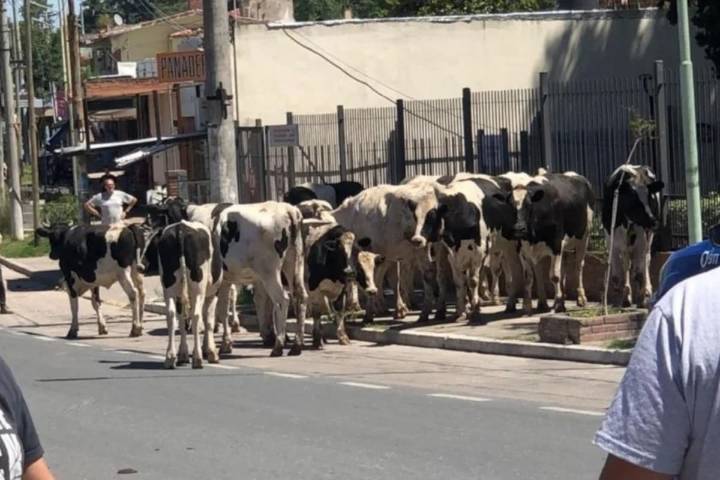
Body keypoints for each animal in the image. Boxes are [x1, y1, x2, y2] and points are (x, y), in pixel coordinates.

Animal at [142, 221, 223, 368]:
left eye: (150, 244)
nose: (142, 265)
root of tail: (181, 228)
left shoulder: (180, 296)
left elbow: (182, 320)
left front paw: (183, 354)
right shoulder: (213, 293)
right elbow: (208, 320)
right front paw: (211, 352)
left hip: (169, 286)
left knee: (171, 314)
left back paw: (170, 357)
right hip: (198, 287)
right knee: (196, 315)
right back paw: (197, 359)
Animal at [213, 202, 308, 357]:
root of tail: (288, 209)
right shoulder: (226, 281)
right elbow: (223, 308)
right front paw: (226, 344)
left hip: (269, 272)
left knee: (282, 300)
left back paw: (278, 346)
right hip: (295, 263)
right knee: (300, 297)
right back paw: (296, 346)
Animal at [512, 171, 595, 314]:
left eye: (528, 205)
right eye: (509, 206)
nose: (518, 228)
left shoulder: (556, 244)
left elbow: (554, 276)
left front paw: (558, 305)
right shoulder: (521, 249)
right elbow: (528, 277)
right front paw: (527, 306)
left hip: (584, 236)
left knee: (578, 265)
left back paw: (580, 298)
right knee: (547, 270)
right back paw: (545, 302)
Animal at [602, 165, 663, 308]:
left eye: (650, 198)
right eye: (634, 201)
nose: (653, 221)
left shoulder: (641, 238)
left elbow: (639, 272)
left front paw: (642, 298)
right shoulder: (611, 239)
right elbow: (617, 274)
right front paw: (622, 297)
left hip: (648, 237)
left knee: (645, 260)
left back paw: (646, 291)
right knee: (626, 262)